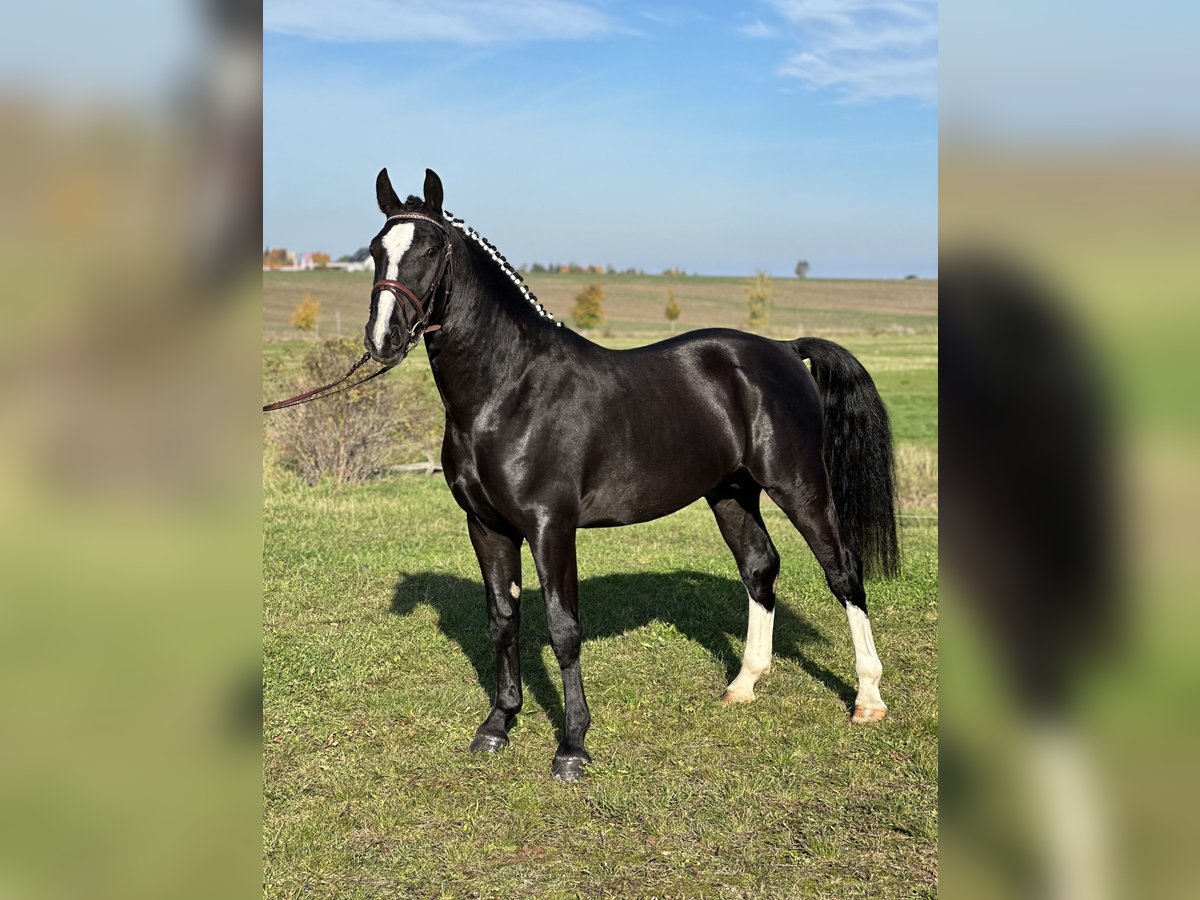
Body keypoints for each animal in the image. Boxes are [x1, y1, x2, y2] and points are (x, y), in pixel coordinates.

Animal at [364, 169, 902, 782]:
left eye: (430, 251)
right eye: (376, 250)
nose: (381, 340)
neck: (508, 391)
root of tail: (785, 350)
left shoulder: (551, 528)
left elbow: (563, 629)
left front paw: (572, 746)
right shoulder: (486, 527)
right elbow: (503, 619)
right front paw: (498, 725)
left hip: (800, 485)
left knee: (843, 572)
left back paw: (868, 698)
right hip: (731, 492)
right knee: (760, 568)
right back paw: (743, 684)